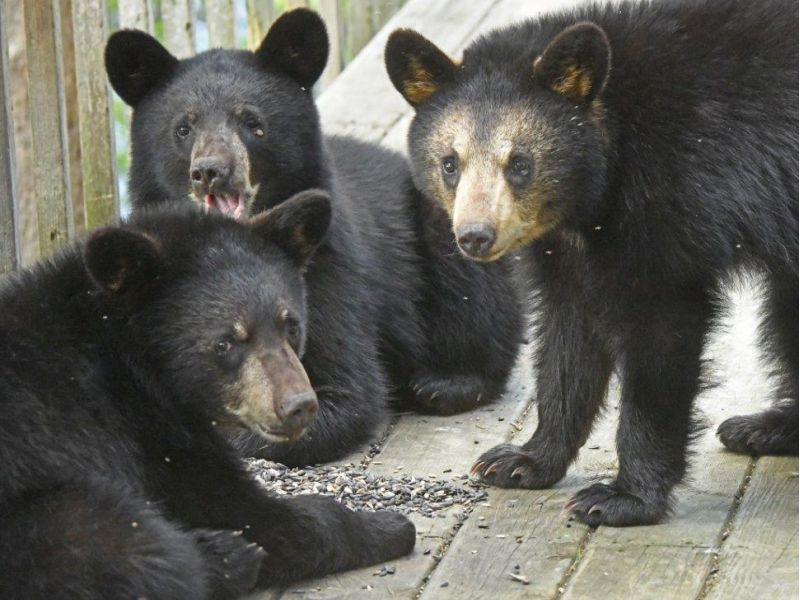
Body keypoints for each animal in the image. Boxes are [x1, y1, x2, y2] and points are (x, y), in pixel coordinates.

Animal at [0, 192, 415, 599]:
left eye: (292, 326)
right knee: (141, 551)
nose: (298, 406)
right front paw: (388, 526)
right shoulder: (143, 432)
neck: (129, 356)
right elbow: (241, 510)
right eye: (225, 342)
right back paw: (227, 558)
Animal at [103, 9, 524, 466]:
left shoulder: (326, 268)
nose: (211, 170)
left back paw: (444, 382)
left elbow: (346, 392)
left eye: (253, 124)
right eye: (183, 128)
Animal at [385, 0, 798, 526]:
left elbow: (661, 334)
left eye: (520, 163)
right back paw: (767, 427)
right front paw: (524, 460)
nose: (475, 236)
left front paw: (623, 497)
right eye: (450, 163)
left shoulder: (677, 200)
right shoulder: (566, 248)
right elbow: (569, 336)